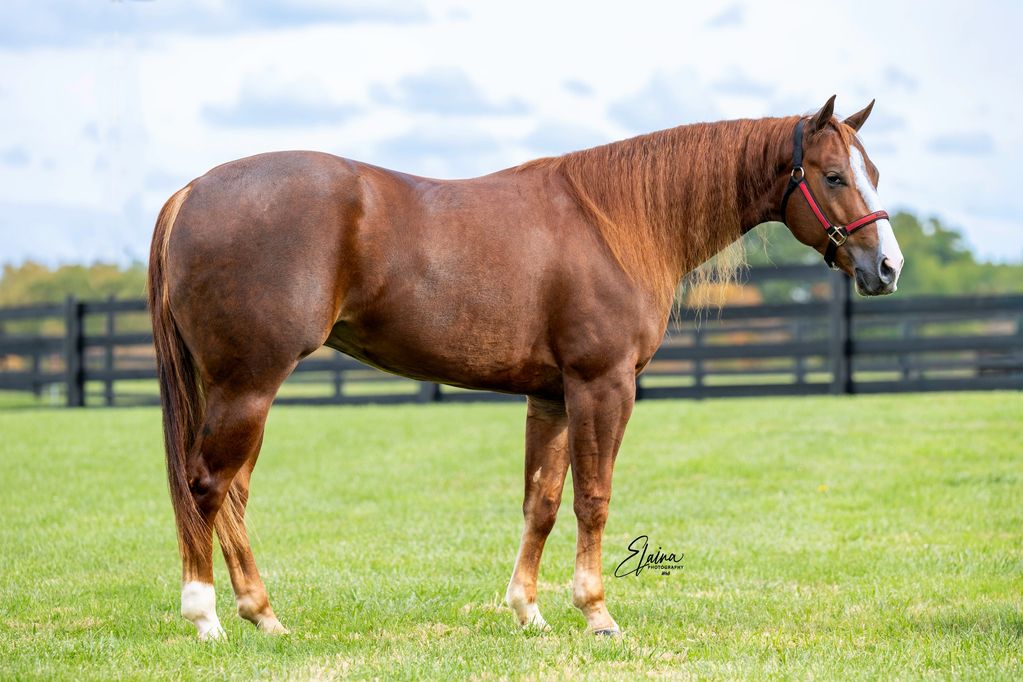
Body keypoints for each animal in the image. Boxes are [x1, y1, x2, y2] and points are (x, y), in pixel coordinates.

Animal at [148, 95, 903, 639]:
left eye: (871, 173)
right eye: (833, 176)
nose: (887, 267)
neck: (612, 222)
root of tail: (191, 191)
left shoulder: (552, 396)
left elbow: (540, 502)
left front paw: (528, 612)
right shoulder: (603, 385)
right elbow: (593, 498)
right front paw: (597, 614)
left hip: (237, 388)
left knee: (232, 495)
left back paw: (264, 616)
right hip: (249, 385)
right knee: (208, 486)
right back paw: (207, 618)